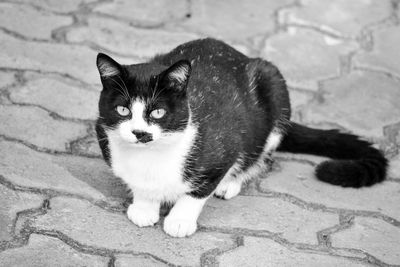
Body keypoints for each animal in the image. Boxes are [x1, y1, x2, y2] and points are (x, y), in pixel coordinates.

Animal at [94, 38, 388, 239]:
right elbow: (139, 184)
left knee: (263, 156)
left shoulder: (224, 149)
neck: (151, 156)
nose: (140, 133)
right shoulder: (103, 135)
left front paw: (179, 220)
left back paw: (231, 182)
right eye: (123, 110)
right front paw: (144, 207)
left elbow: (197, 191)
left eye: (157, 112)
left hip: (274, 88)